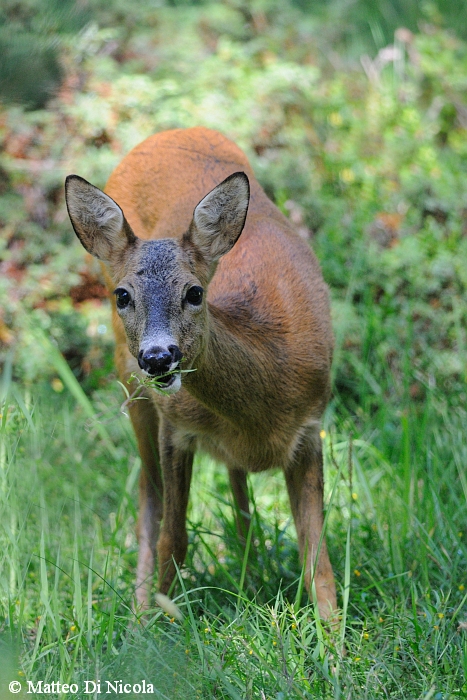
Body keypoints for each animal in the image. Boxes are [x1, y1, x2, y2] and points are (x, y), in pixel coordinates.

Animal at [65, 126, 336, 616]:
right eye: (122, 295)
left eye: (194, 292)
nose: (157, 358)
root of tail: (167, 131)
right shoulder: (175, 428)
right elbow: (173, 540)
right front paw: (157, 624)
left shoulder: (311, 427)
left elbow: (316, 559)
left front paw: (336, 637)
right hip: (129, 383)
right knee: (148, 499)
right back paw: (140, 610)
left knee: (238, 491)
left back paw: (248, 572)